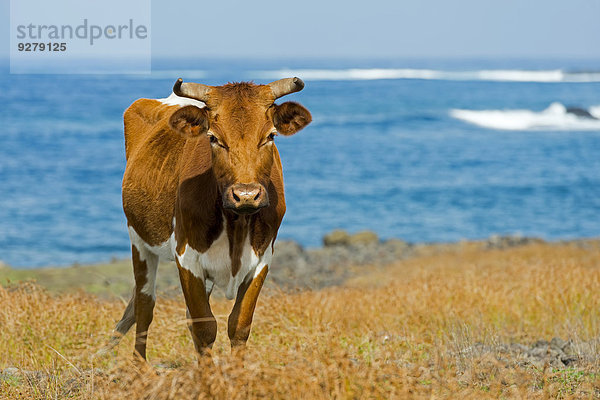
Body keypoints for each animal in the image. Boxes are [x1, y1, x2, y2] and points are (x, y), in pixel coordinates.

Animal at [110, 76, 312, 358]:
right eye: (214, 138)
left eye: (270, 136)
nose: (246, 195)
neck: (237, 225)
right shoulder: (186, 257)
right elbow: (204, 327)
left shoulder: (262, 258)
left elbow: (238, 325)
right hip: (139, 240)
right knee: (144, 304)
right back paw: (139, 364)